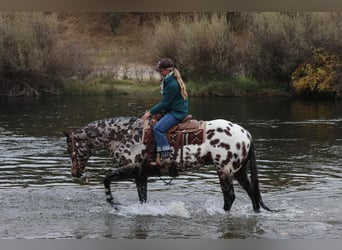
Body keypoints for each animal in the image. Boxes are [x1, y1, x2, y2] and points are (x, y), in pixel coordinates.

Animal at [64, 116, 272, 212]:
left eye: (69, 148)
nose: (75, 173)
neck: (125, 134)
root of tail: (245, 133)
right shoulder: (141, 175)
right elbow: (142, 198)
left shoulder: (130, 169)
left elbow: (106, 179)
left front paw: (113, 203)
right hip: (239, 171)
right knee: (252, 193)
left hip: (225, 171)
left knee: (230, 197)